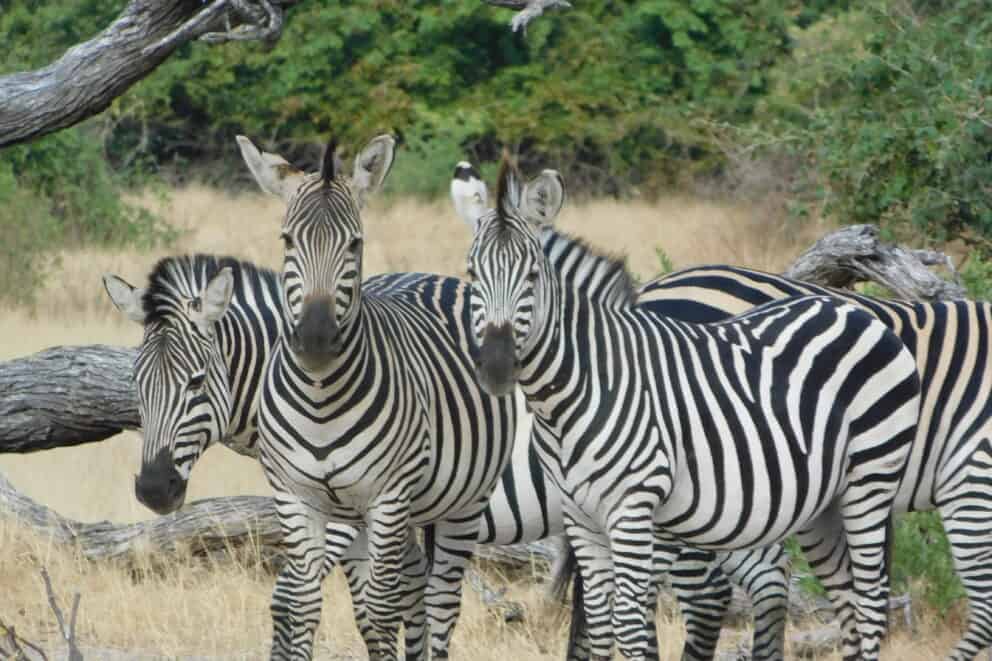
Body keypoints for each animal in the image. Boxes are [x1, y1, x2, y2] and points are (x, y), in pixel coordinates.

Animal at [463, 159, 922, 661]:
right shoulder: (580, 515)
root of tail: (857, 313)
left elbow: (625, 622)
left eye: (532, 277)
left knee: (841, 595)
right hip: (802, 499)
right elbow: (598, 622)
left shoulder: (632, 505)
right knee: (826, 590)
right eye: (471, 276)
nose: (496, 368)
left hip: (852, 482)